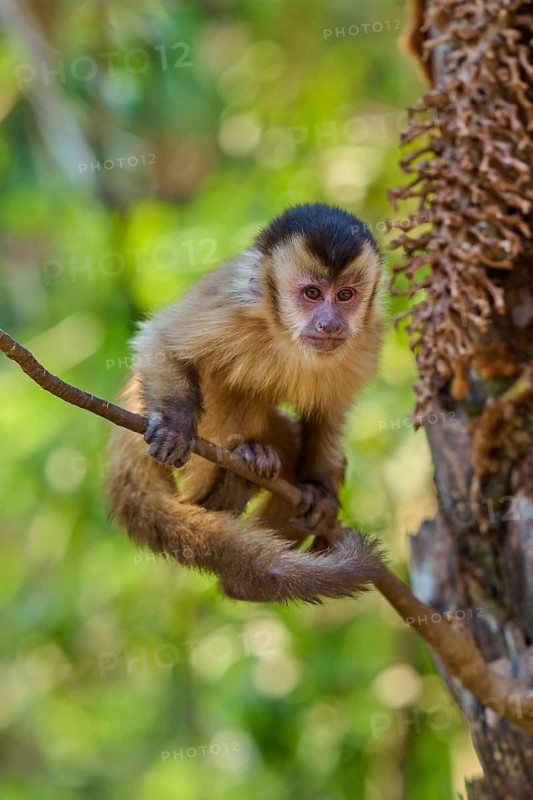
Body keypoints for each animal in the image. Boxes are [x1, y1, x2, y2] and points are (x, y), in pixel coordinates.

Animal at [107, 203, 385, 603]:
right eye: (312, 293)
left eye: (346, 295)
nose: (330, 324)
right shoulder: (232, 304)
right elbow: (161, 341)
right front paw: (175, 427)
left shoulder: (367, 338)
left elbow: (327, 414)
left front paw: (320, 490)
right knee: (232, 390)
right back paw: (224, 487)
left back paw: (242, 576)